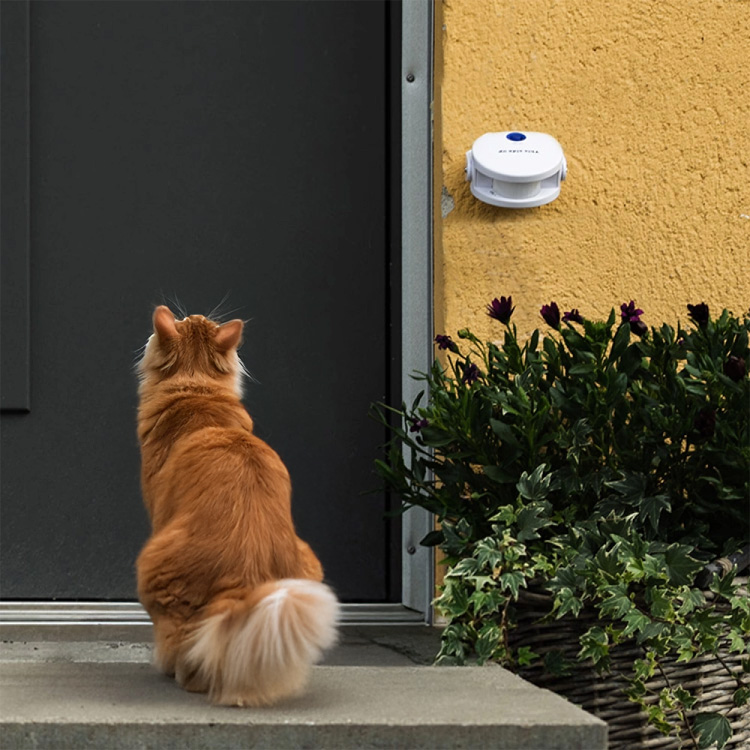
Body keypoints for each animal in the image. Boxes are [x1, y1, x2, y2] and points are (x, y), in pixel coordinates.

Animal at [137, 306, 340, 704]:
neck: (197, 390)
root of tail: (245, 573)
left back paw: (175, 672)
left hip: (151, 564)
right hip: (309, 571)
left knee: (187, 648)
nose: (194, 313)